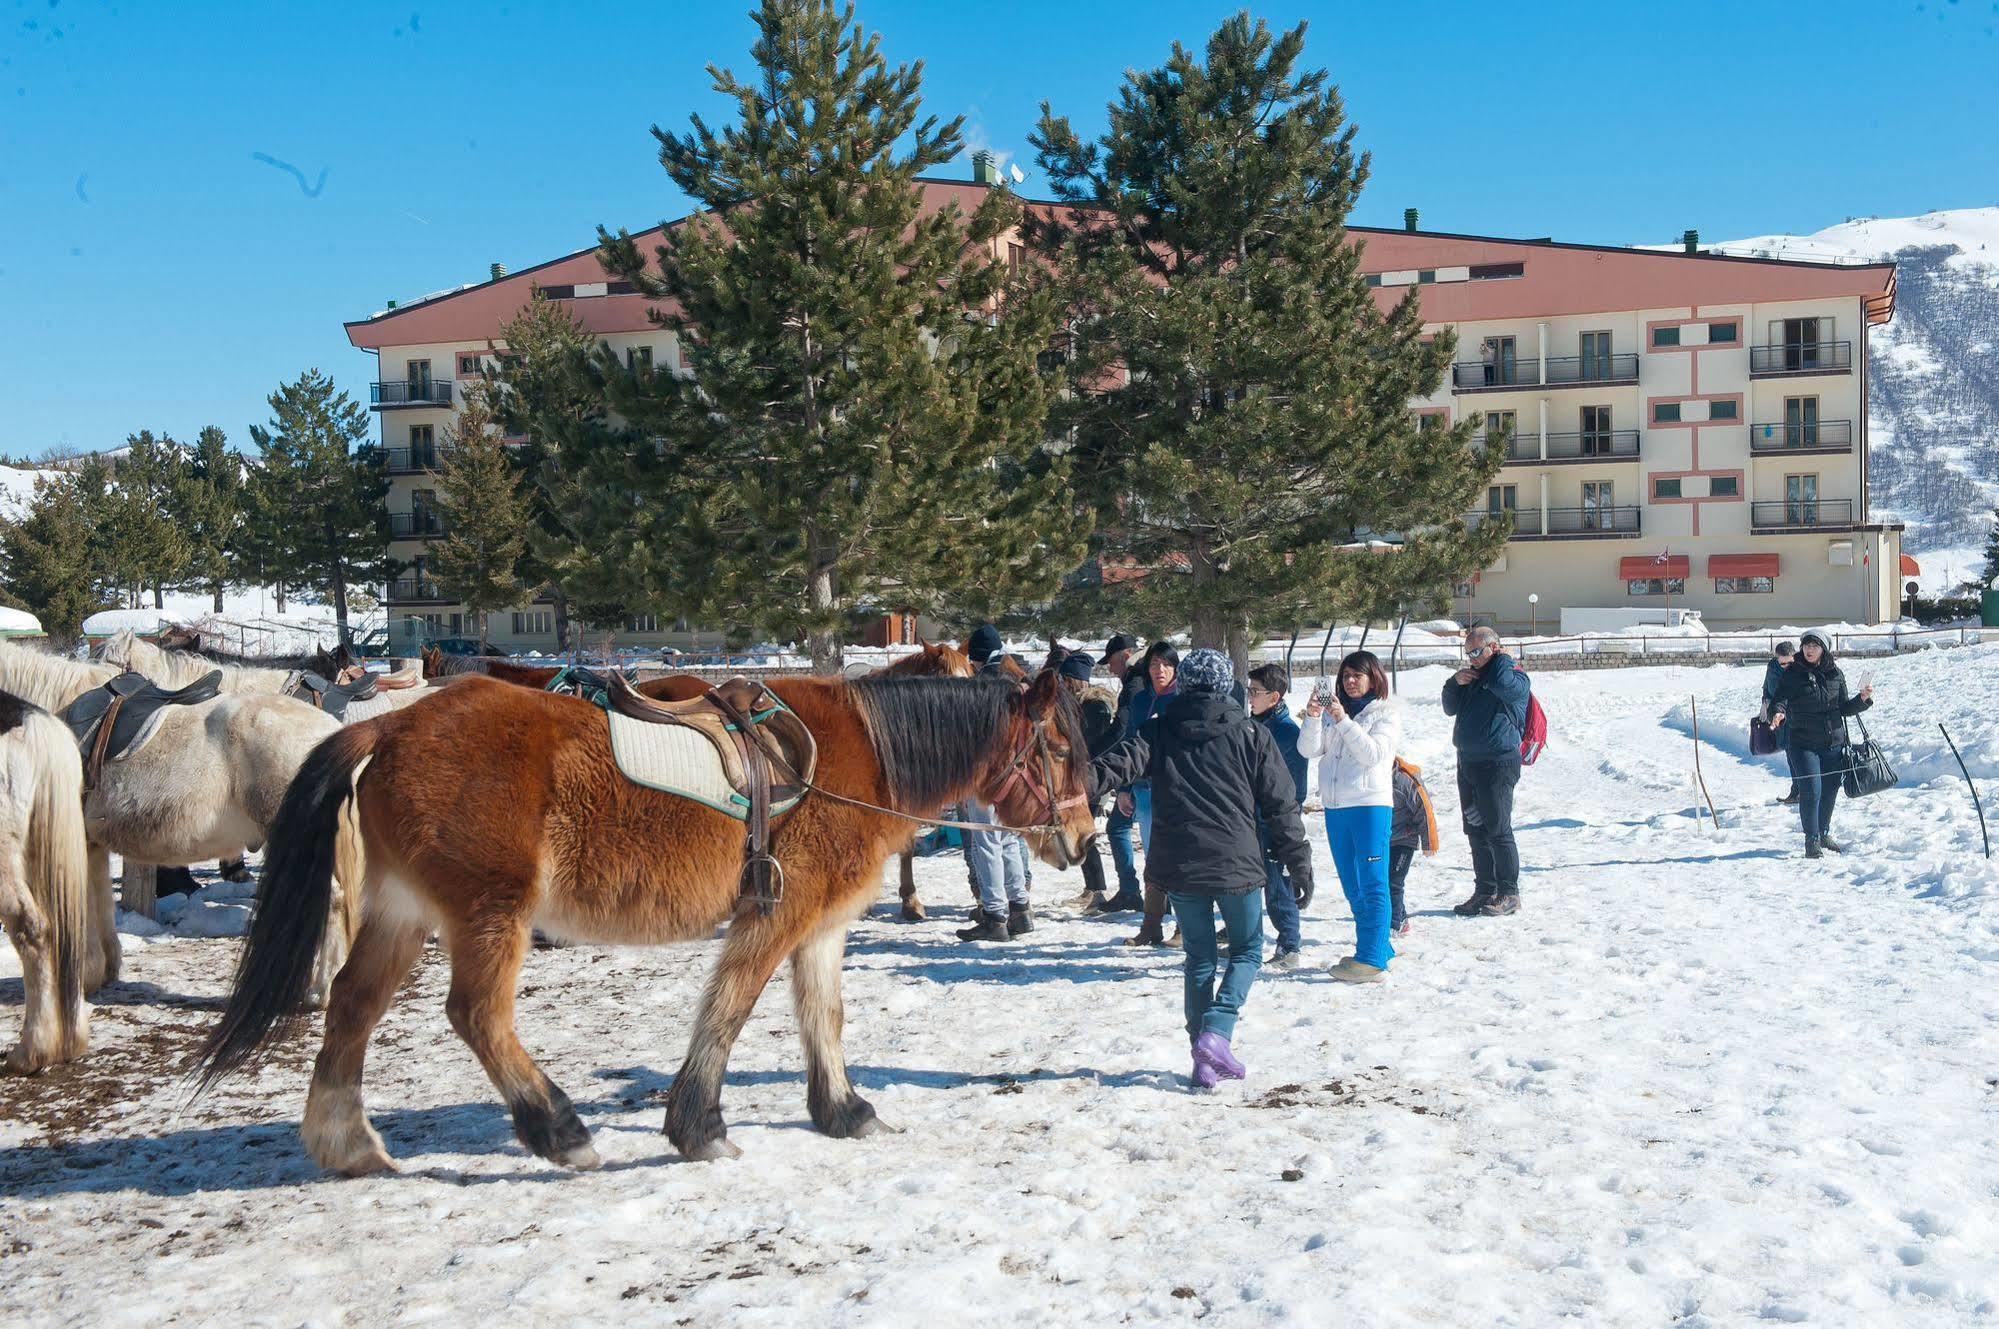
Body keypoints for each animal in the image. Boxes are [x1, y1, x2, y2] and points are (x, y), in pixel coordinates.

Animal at [194, 675, 1087, 1175]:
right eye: (1062, 748)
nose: (1081, 836)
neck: (857, 752)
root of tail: (388, 724)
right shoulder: (774, 916)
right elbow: (728, 1010)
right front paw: (697, 1127)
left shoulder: (822, 925)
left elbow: (823, 1016)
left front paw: (842, 1109)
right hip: (491, 912)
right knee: (476, 1014)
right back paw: (558, 1129)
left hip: (403, 914)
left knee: (352, 1006)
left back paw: (346, 1143)